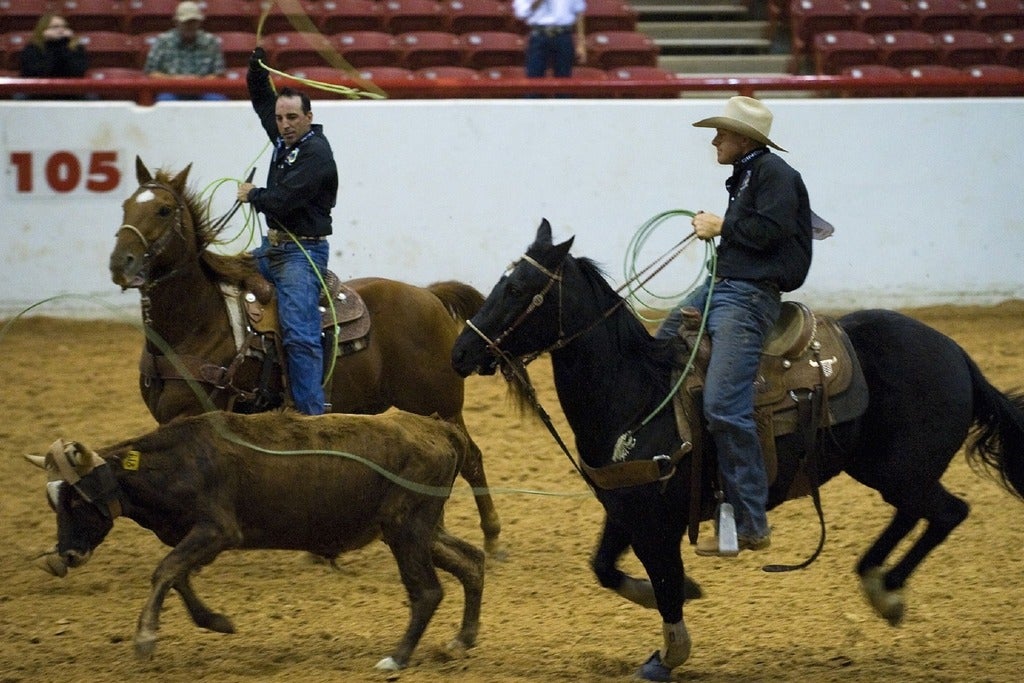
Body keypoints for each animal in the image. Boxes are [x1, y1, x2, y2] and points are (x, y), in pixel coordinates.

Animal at [107, 158, 499, 557]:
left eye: (163, 209)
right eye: (125, 206)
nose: (120, 263)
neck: (199, 321)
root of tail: (429, 294)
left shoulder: (194, 414)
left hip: (441, 403)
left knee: (471, 459)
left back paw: (492, 535)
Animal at [452, 222, 1024, 679]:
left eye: (519, 287)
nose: (461, 351)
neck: (639, 393)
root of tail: (958, 355)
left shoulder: (656, 521)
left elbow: (663, 581)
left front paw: (669, 654)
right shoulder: (625, 506)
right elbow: (606, 569)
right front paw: (682, 595)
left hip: (900, 469)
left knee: (948, 511)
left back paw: (887, 590)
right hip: (885, 469)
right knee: (917, 513)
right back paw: (877, 582)